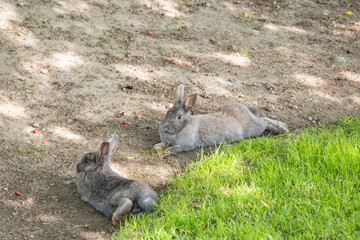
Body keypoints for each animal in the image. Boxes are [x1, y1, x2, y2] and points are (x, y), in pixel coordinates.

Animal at [153, 85, 288, 154]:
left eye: (179, 117)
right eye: (168, 112)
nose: (165, 127)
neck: (184, 125)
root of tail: (247, 110)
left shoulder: (187, 144)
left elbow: (178, 147)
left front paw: (168, 151)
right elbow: (163, 143)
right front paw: (157, 146)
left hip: (255, 128)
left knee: (264, 121)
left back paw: (283, 128)